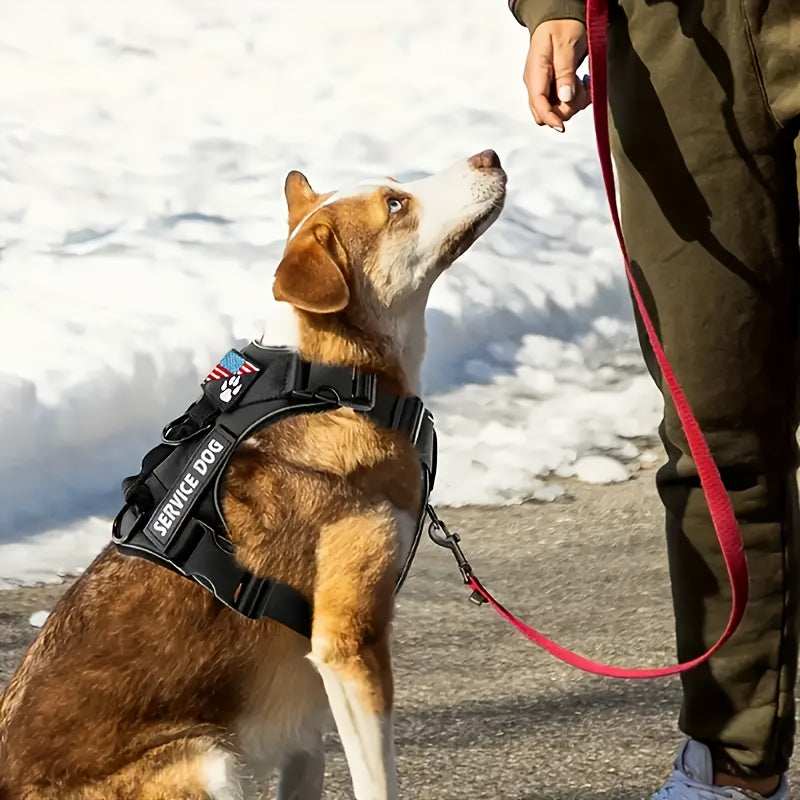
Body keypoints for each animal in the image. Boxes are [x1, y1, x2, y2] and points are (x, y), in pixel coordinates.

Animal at [0, 150, 506, 800]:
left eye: (395, 185)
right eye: (396, 205)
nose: (488, 155)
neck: (330, 383)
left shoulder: (307, 723)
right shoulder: (349, 643)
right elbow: (378, 782)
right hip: (208, 760)